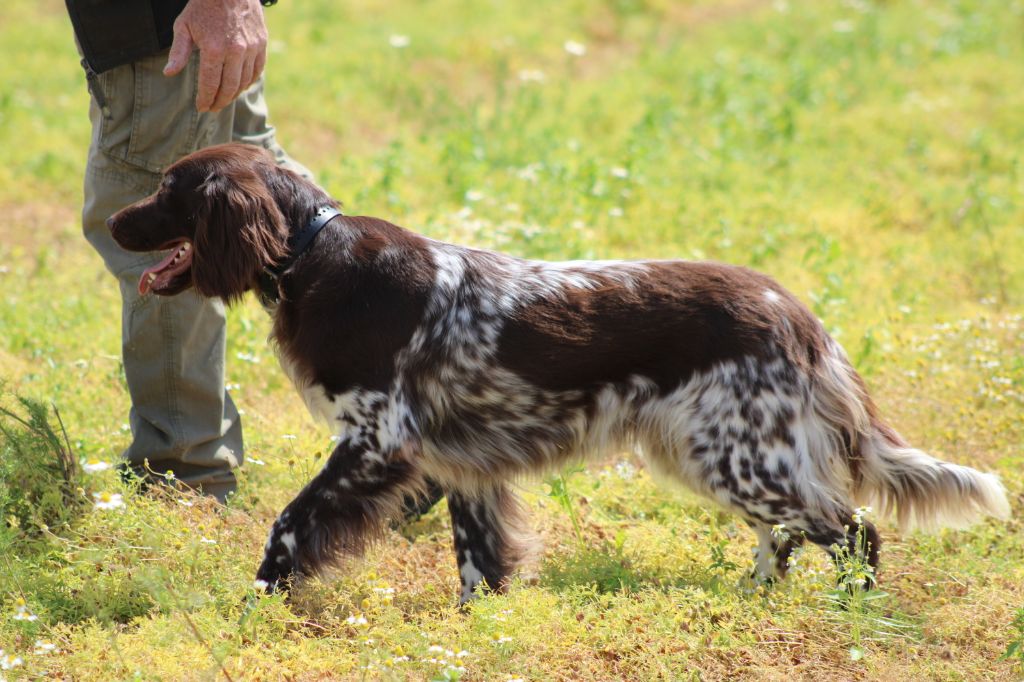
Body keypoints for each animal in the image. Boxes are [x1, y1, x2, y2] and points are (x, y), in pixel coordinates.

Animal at [110, 142, 1007, 602]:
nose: (114, 222)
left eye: (168, 188)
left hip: (736, 455)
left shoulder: (377, 443)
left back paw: (851, 610)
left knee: (854, 531)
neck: (314, 254)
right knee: (785, 536)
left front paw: (255, 605)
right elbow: (478, 563)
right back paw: (758, 598)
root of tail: (799, 316)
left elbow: (289, 526)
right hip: (726, 456)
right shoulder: (460, 462)